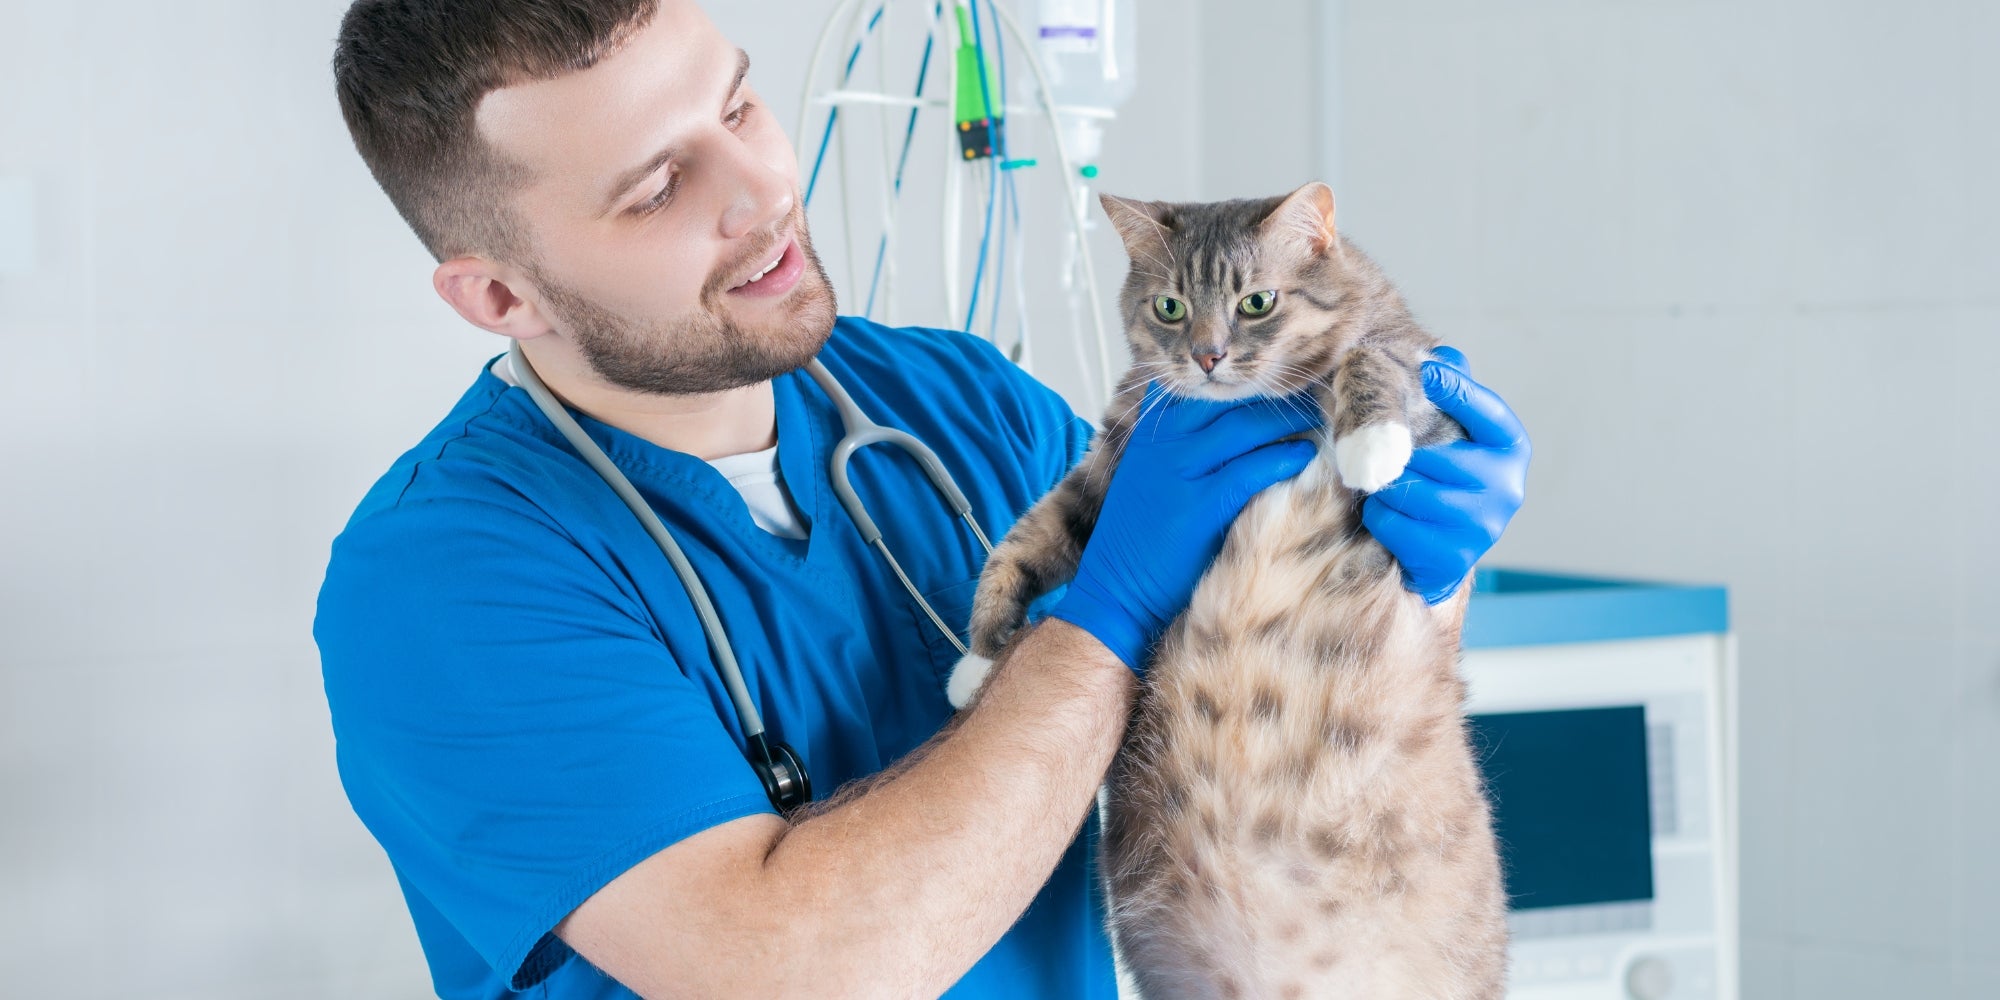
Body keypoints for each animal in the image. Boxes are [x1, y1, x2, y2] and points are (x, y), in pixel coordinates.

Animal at [952, 184, 1504, 996]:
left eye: (1256, 302)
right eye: (1171, 307)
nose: (1207, 356)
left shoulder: (1432, 386)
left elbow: (1375, 354)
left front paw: (1370, 444)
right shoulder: (1113, 470)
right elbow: (1030, 541)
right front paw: (982, 660)